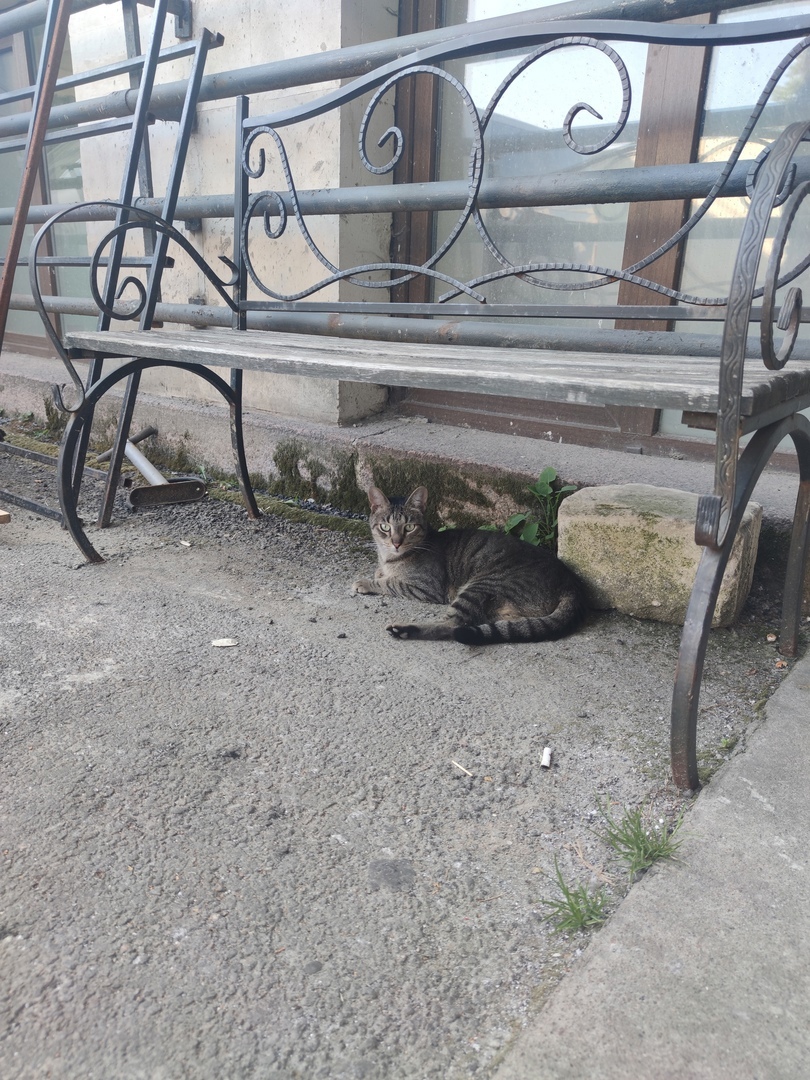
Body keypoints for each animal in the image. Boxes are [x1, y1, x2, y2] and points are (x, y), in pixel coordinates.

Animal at [351, 485, 586, 644]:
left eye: (409, 527)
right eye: (385, 527)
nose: (396, 542)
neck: (389, 558)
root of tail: (570, 583)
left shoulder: (425, 587)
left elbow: (389, 583)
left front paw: (365, 582)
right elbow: (382, 574)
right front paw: (378, 573)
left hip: (480, 586)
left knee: (454, 626)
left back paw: (404, 630)